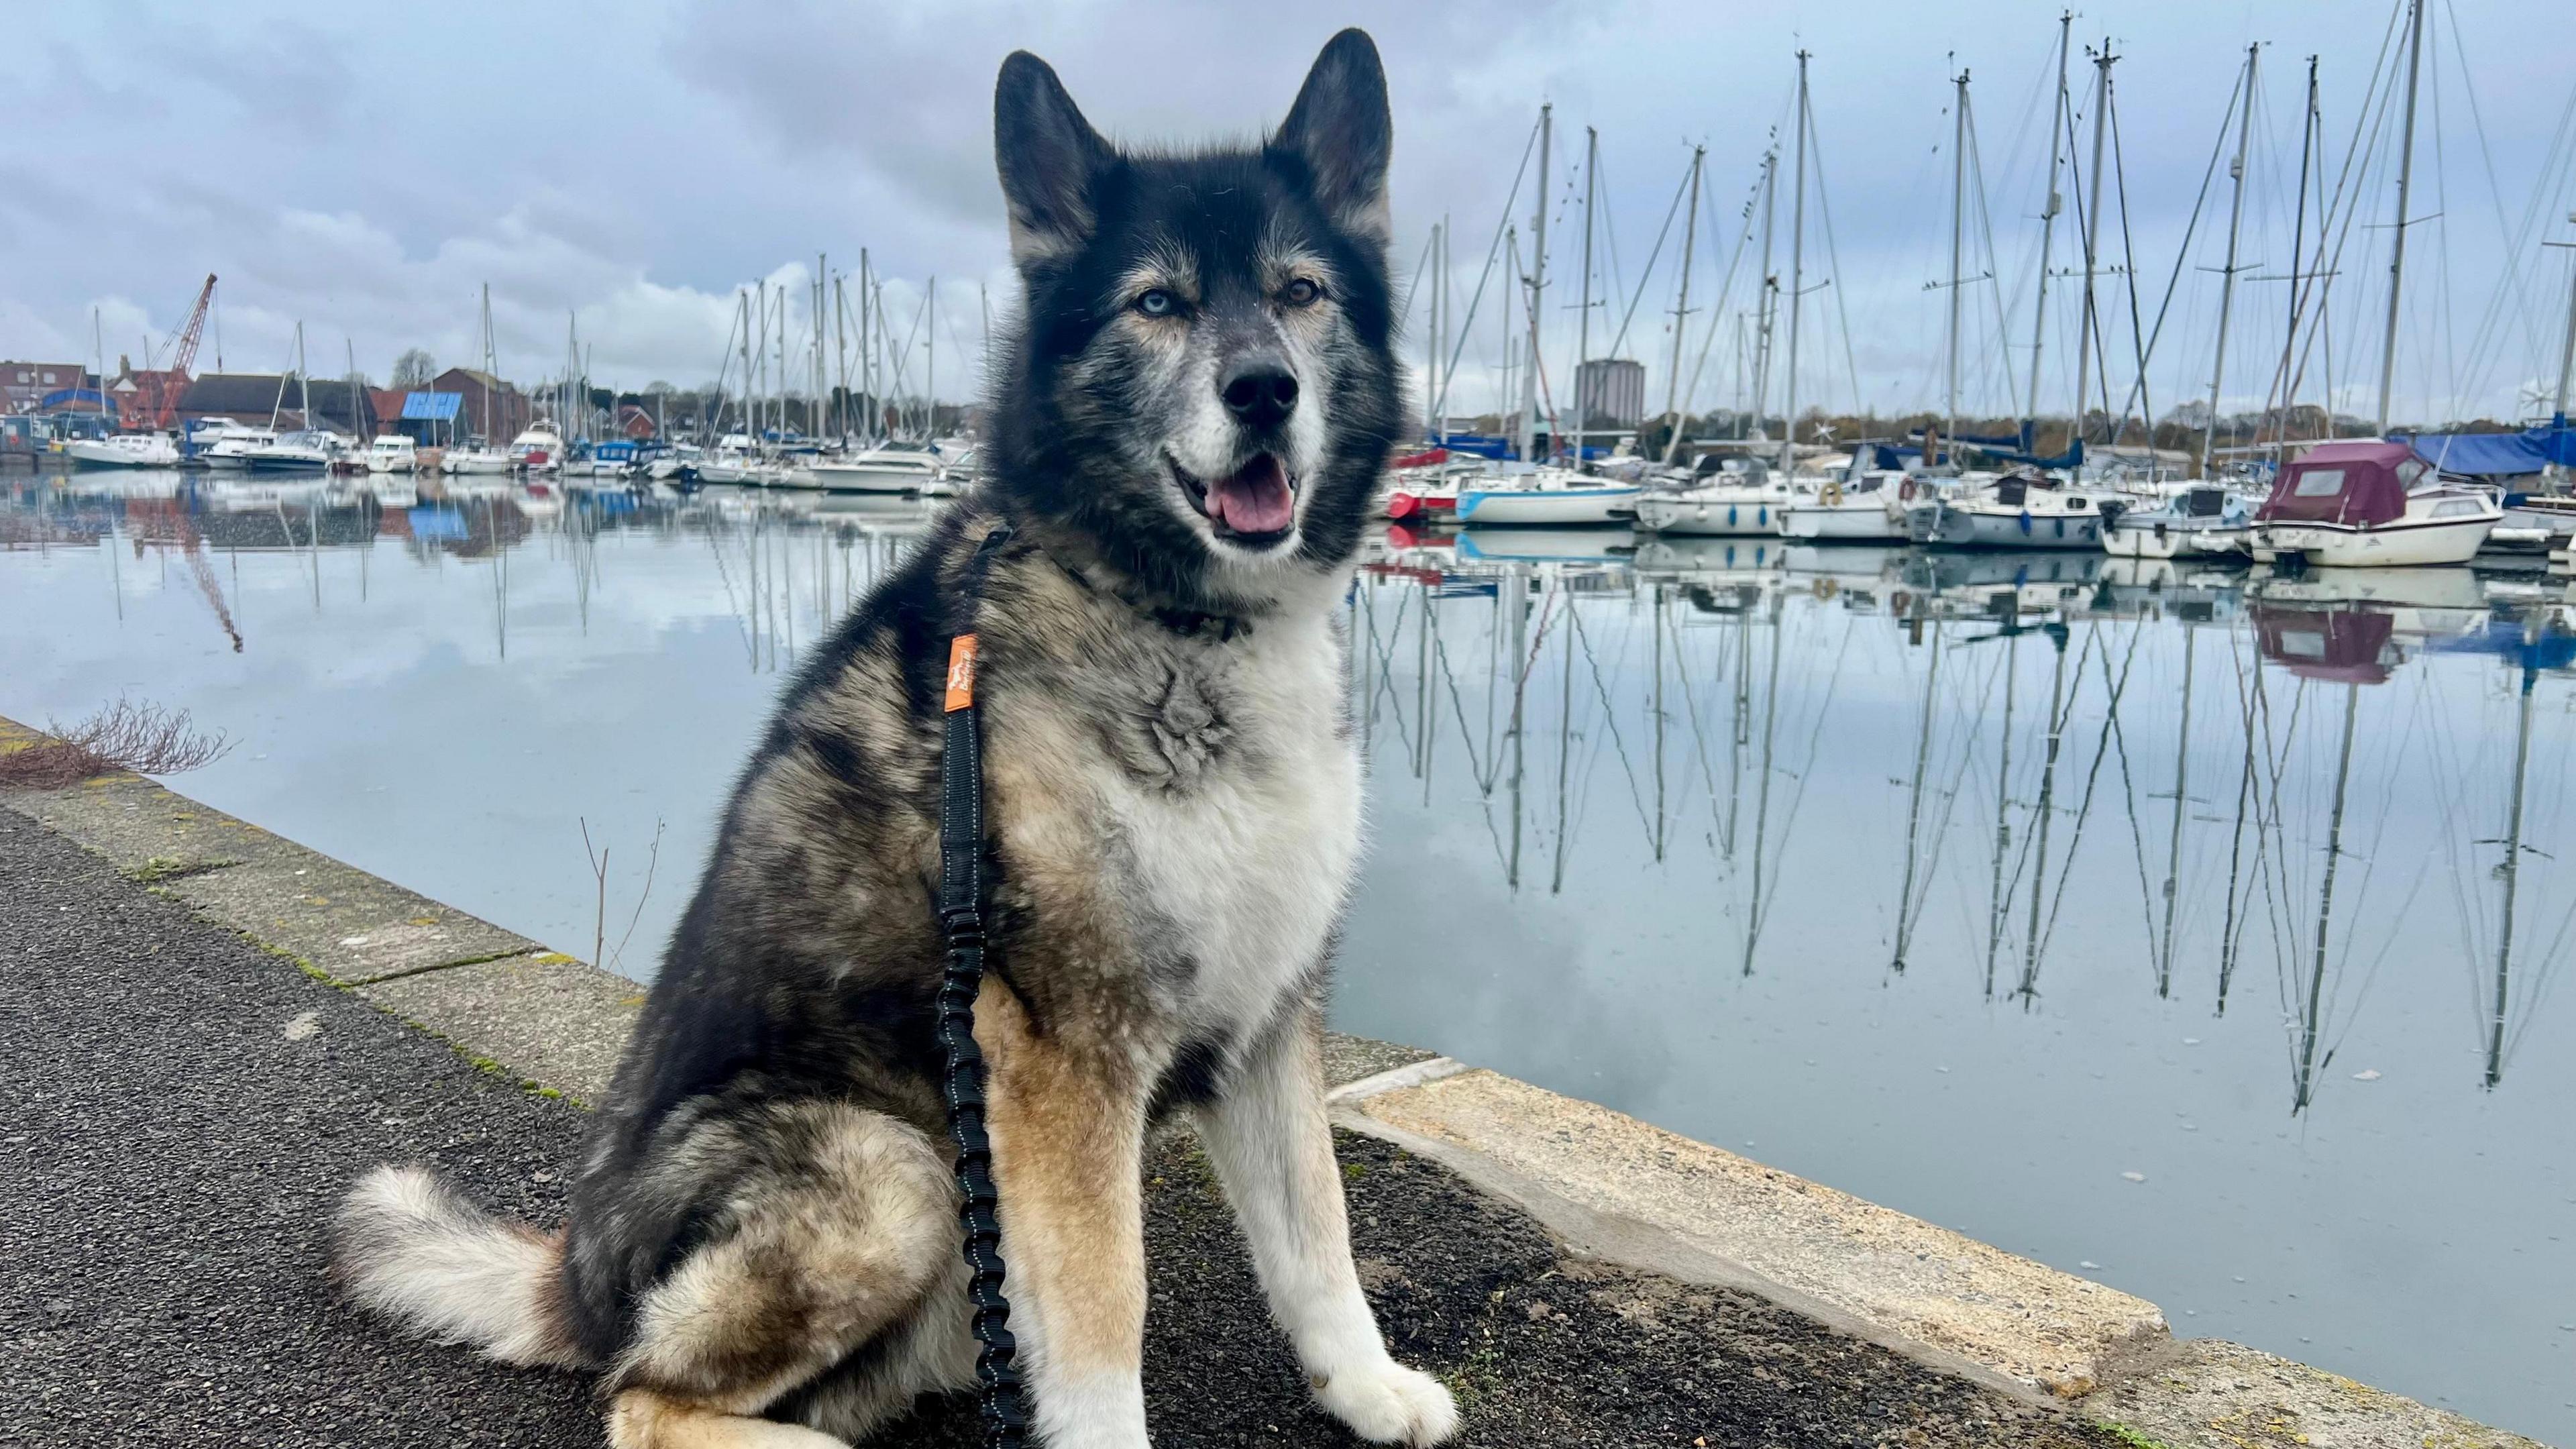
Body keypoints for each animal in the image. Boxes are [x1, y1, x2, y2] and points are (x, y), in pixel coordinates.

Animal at [339, 25, 1463, 1444]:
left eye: (1302, 290)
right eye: (1157, 303)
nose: (1264, 390)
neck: (1177, 619)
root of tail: (578, 1284)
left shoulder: (1269, 1019)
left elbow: (1320, 1235)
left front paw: (1366, 1386)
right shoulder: (1058, 1063)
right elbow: (1108, 1315)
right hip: (899, 1173)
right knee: (645, 1397)